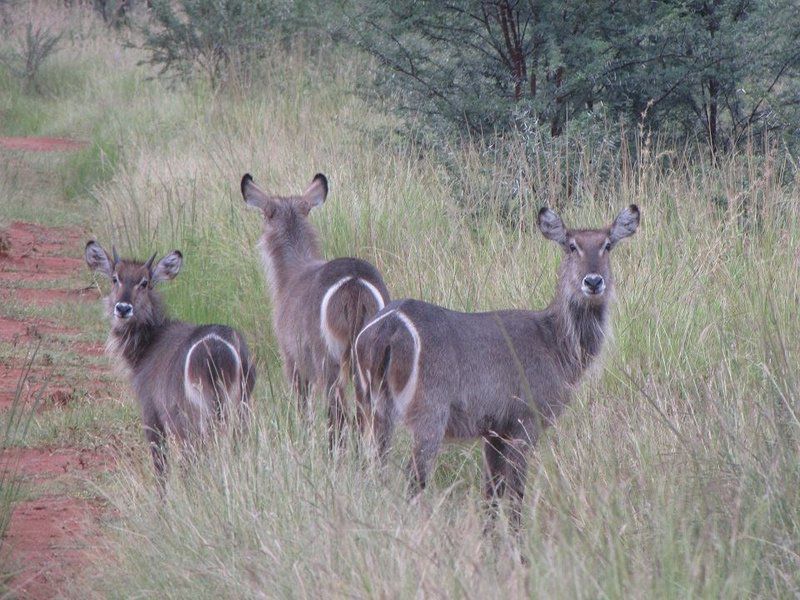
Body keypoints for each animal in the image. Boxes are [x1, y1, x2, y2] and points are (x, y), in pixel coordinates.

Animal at [85, 241, 255, 490]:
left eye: (145, 282)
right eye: (115, 278)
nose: (123, 308)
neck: (147, 347)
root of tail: (219, 347)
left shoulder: (150, 412)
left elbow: (160, 467)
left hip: (194, 419)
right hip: (240, 409)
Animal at [241, 171, 390, 448]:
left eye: (265, 216)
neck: (290, 275)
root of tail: (354, 281)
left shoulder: (292, 359)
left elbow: (302, 408)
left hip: (329, 362)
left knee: (340, 417)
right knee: (372, 418)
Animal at [354, 205, 640, 524]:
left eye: (607, 245)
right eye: (571, 245)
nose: (593, 281)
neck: (555, 343)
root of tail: (388, 325)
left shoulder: (493, 432)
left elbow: (491, 494)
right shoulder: (524, 424)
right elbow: (516, 494)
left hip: (372, 409)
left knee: (371, 469)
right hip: (427, 416)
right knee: (414, 479)